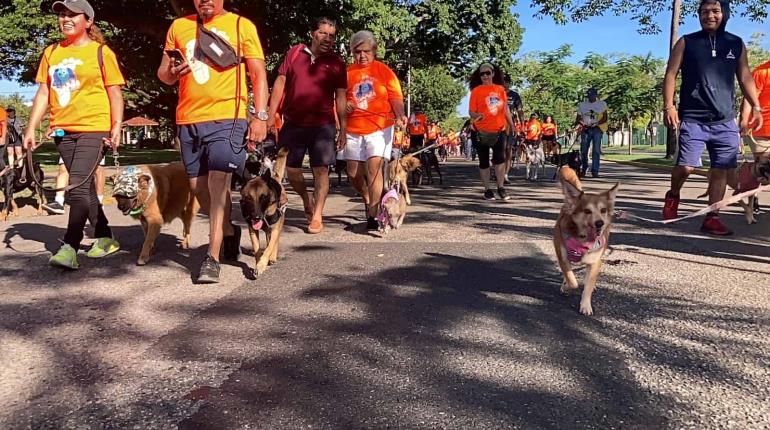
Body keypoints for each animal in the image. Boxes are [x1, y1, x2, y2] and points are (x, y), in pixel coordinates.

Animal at [240, 147, 288, 276]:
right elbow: (257, 249)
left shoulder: (275, 229)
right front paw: (258, 263)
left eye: (264, 197)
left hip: (278, 225)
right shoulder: (252, 231)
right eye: (248, 198)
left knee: (274, 242)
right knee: (267, 238)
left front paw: (262, 264)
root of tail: (274, 178)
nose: (256, 217)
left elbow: (269, 247)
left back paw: (272, 257)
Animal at [552, 166, 616, 314]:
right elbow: (572, 281)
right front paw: (566, 286)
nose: (600, 223)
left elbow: (588, 285)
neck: (583, 238)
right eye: (587, 211)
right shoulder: (563, 257)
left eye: (603, 210)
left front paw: (586, 305)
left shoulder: (594, 261)